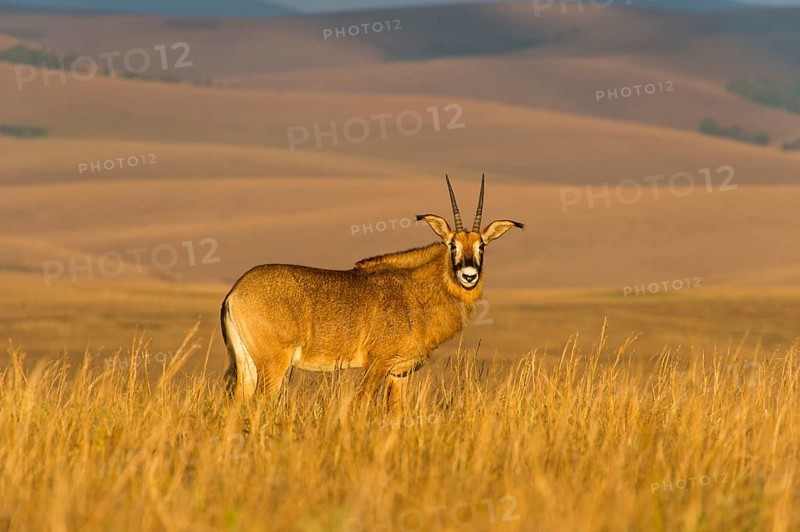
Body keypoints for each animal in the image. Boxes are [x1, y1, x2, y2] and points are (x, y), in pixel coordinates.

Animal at [221, 175, 523, 408]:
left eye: (482, 246)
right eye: (452, 245)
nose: (468, 275)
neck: (415, 292)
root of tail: (235, 293)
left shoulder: (399, 373)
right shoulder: (376, 364)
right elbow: (361, 405)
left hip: (247, 366)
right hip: (273, 364)